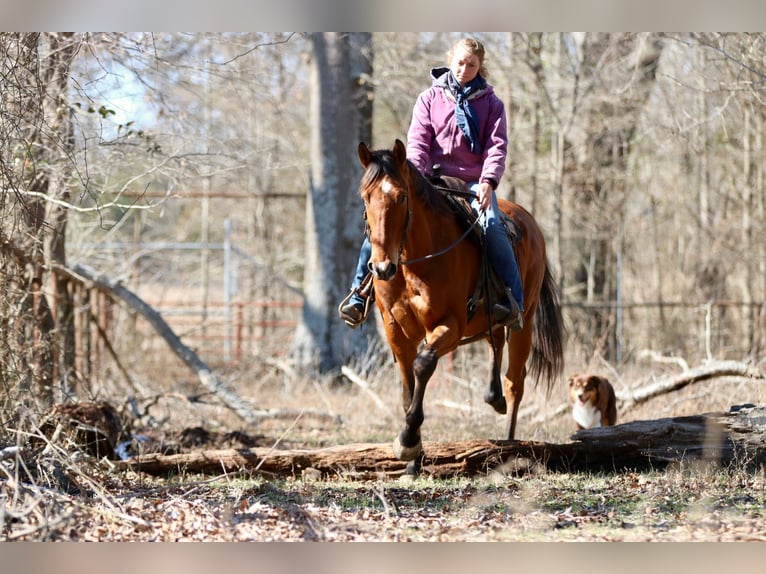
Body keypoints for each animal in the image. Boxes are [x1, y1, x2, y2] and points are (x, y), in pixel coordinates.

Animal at [356, 139, 565, 474]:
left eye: (401, 197)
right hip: (490, 321)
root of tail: (529, 222)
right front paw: (412, 462)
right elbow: (408, 386)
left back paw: (510, 445)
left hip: (526, 321)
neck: (415, 261)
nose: (382, 267)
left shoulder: (450, 325)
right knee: (496, 345)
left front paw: (408, 441)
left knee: (515, 382)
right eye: (366, 197)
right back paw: (493, 398)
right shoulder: (395, 330)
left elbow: (423, 365)